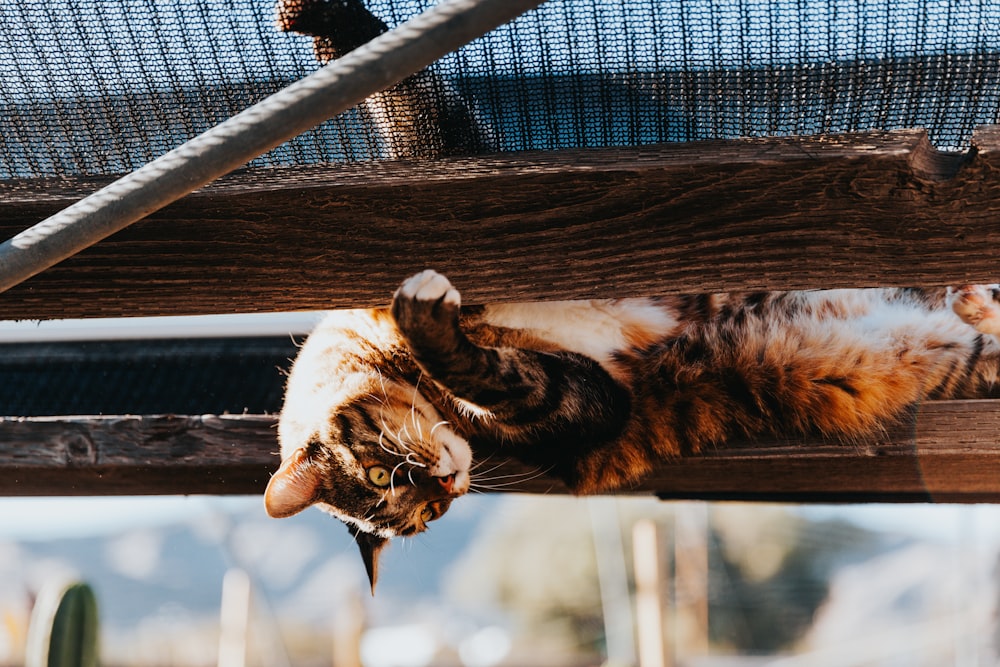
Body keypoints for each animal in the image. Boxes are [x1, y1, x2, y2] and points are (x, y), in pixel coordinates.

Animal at [266, 268, 1000, 592]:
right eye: (424, 518)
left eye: (378, 474)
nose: (446, 488)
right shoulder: (589, 400)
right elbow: (497, 376)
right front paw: (431, 323)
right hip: (964, 363)